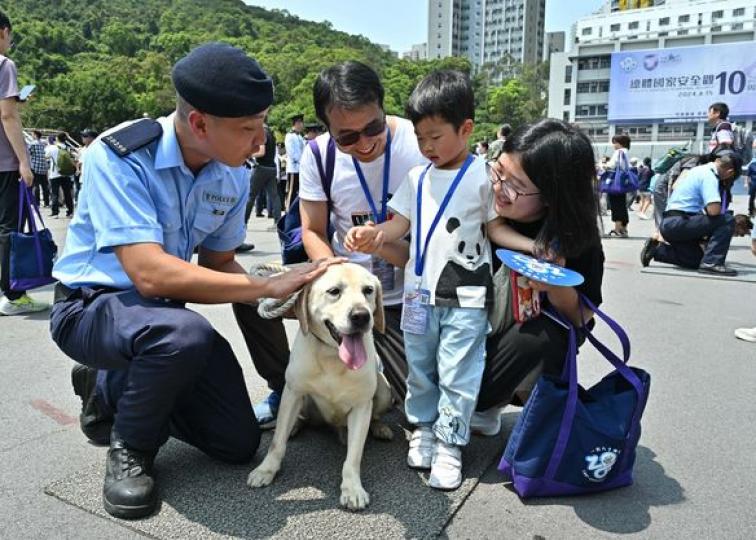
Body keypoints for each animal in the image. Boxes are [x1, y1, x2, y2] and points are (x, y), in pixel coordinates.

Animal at [248, 264, 392, 510]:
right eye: (334, 291)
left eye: (368, 290)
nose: (361, 316)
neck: (332, 356)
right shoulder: (293, 392)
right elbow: (277, 443)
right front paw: (266, 469)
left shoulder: (362, 405)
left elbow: (353, 457)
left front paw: (352, 488)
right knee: (297, 420)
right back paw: (295, 426)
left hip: (384, 390)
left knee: (372, 415)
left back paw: (378, 427)